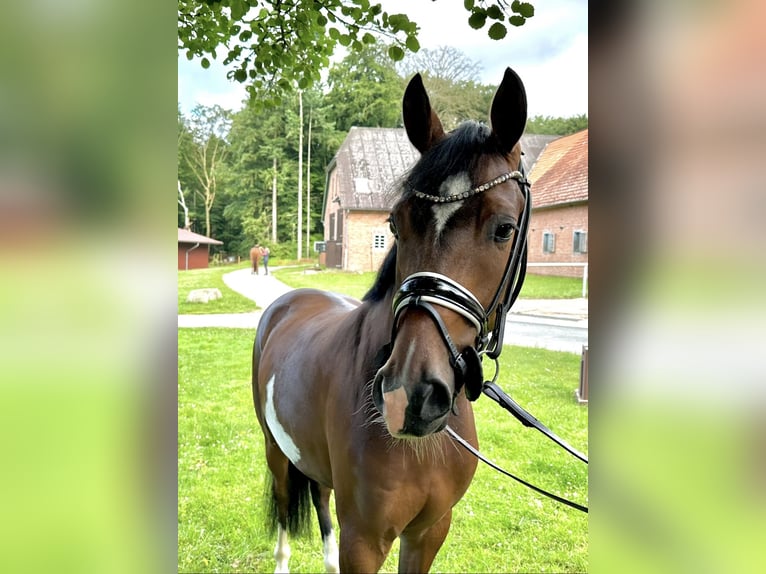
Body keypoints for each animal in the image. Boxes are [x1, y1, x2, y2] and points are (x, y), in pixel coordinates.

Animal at [255, 68, 532, 574]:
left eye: (504, 228)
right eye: (396, 224)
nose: (410, 395)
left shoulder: (429, 531)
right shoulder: (364, 541)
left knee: (320, 499)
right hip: (276, 451)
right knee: (285, 512)